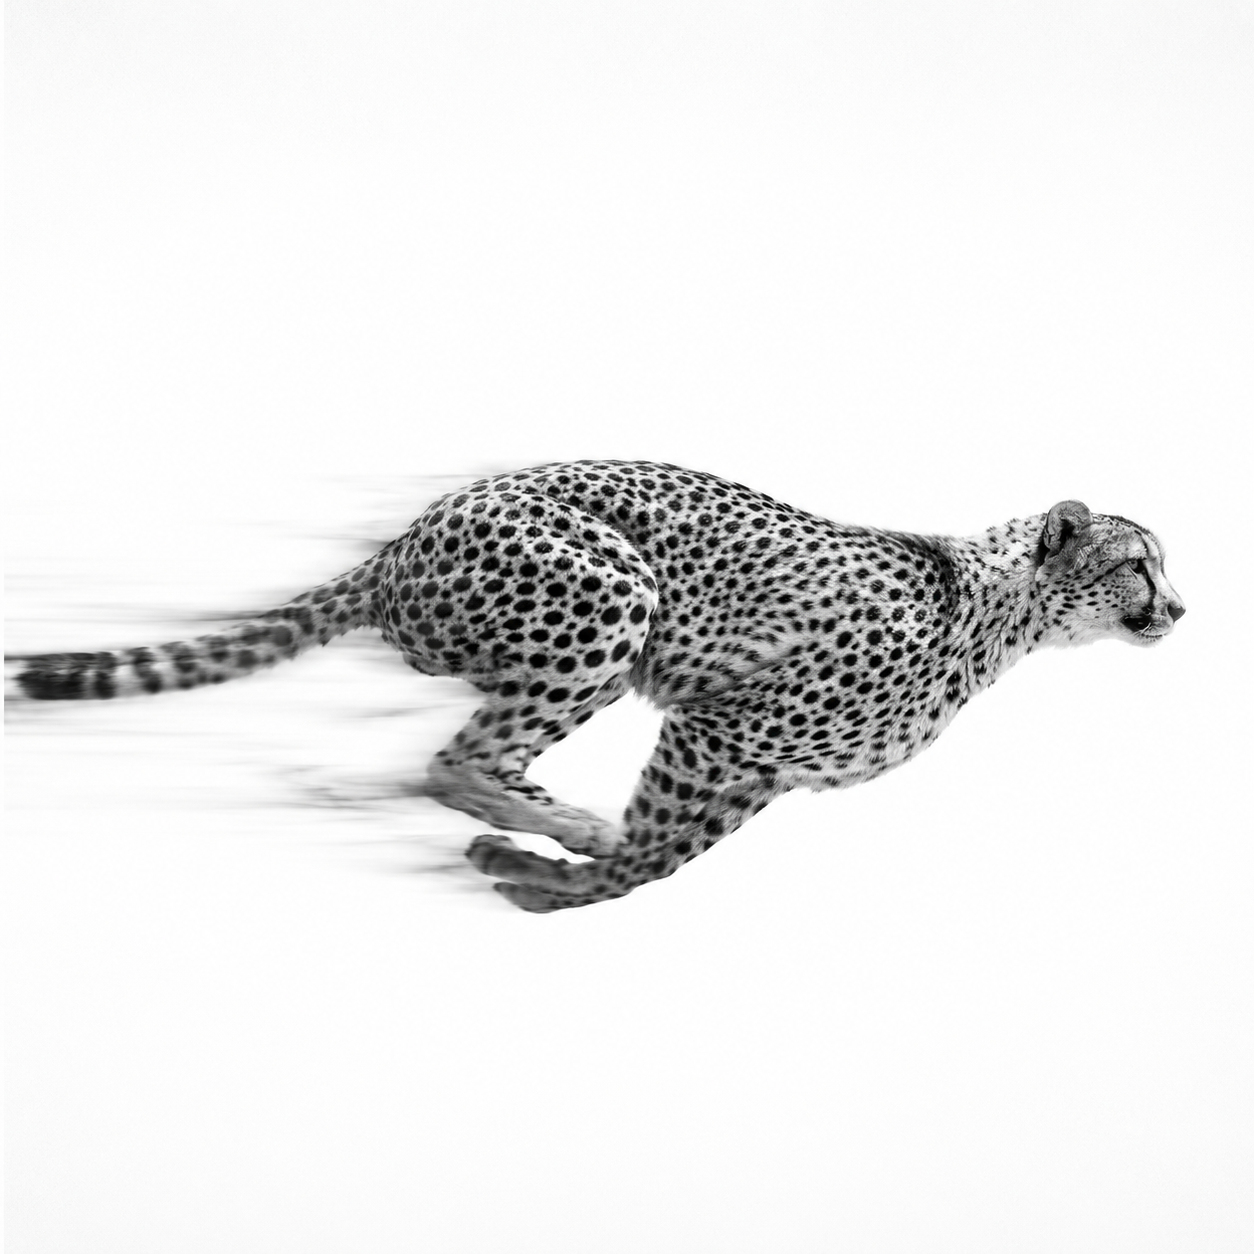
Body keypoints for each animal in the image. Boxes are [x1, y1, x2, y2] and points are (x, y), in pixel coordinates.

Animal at [9, 460, 1185, 912]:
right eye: (1139, 564)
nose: (1180, 610)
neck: (1003, 609)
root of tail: (401, 541)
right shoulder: (723, 726)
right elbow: (639, 857)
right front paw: (553, 863)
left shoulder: (755, 770)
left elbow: (651, 866)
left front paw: (534, 882)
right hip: (612, 595)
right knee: (452, 759)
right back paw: (562, 816)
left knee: (471, 759)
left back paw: (538, 823)